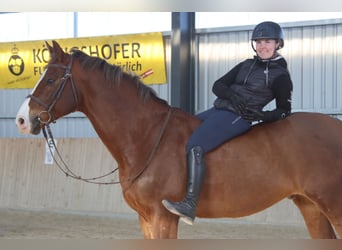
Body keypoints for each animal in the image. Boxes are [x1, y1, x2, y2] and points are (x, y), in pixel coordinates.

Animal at [16, 40, 342, 238]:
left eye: (50, 79)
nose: (22, 120)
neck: (146, 136)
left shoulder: (163, 217)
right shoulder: (146, 218)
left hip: (333, 206)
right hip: (310, 207)